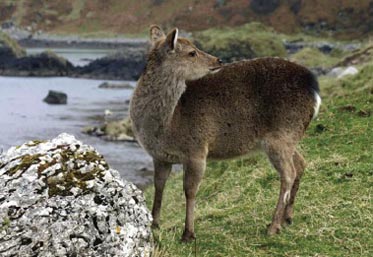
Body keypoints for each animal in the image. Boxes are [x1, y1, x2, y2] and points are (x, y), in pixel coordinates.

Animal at [129, 25, 320, 241]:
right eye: (192, 52)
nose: (218, 60)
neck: (166, 126)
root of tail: (314, 88)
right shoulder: (160, 156)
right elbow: (159, 186)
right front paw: (154, 225)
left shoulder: (197, 149)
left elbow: (190, 190)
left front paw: (188, 234)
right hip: (289, 137)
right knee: (301, 163)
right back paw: (287, 218)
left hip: (282, 135)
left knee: (289, 173)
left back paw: (273, 226)